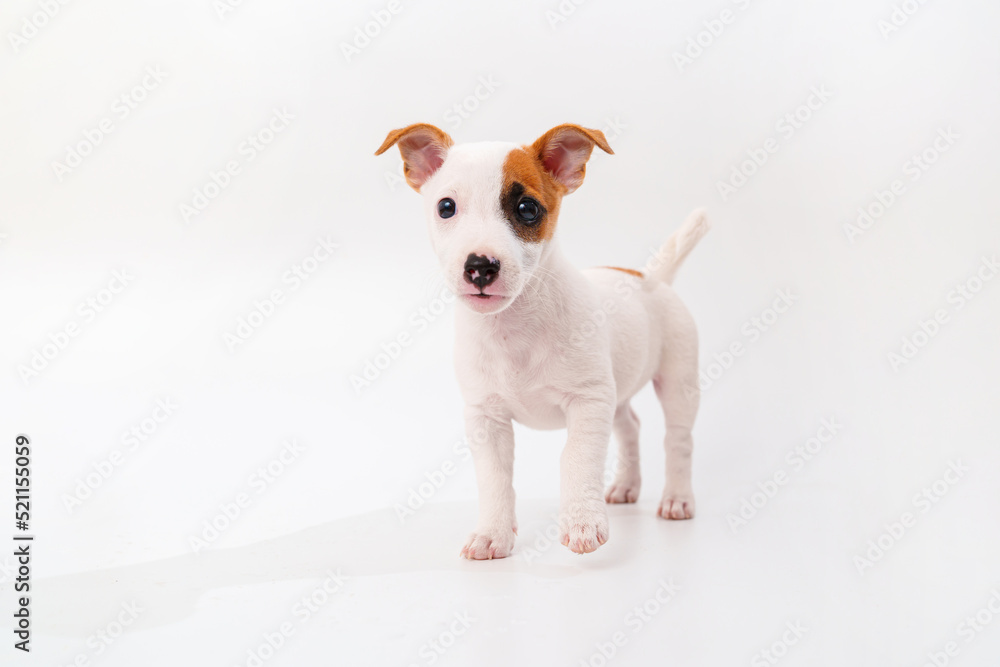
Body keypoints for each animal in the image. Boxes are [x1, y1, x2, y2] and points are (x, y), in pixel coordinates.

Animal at [376, 124, 712, 560]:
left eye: (527, 209)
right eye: (446, 207)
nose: (480, 266)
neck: (514, 327)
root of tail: (650, 277)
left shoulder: (587, 403)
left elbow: (577, 459)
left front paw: (583, 522)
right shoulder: (486, 417)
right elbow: (495, 478)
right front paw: (493, 533)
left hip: (677, 384)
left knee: (678, 441)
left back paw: (676, 498)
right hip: (616, 391)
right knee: (630, 427)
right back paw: (626, 486)